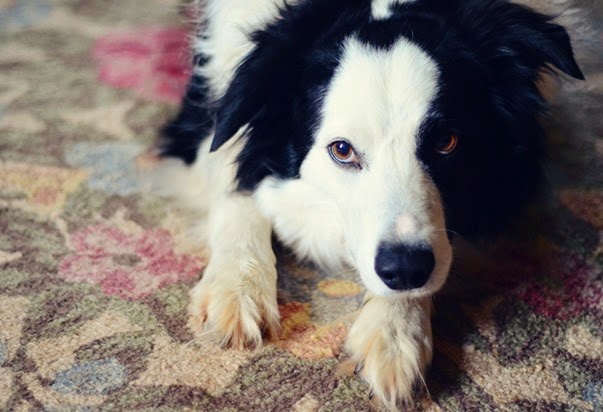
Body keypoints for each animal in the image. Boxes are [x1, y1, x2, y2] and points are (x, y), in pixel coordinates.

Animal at [154, 0, 583, 408]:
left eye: (447, 142)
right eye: (342, 151)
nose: (407, 269)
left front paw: (395, 334)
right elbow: (235, 180)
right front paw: (237, 286)